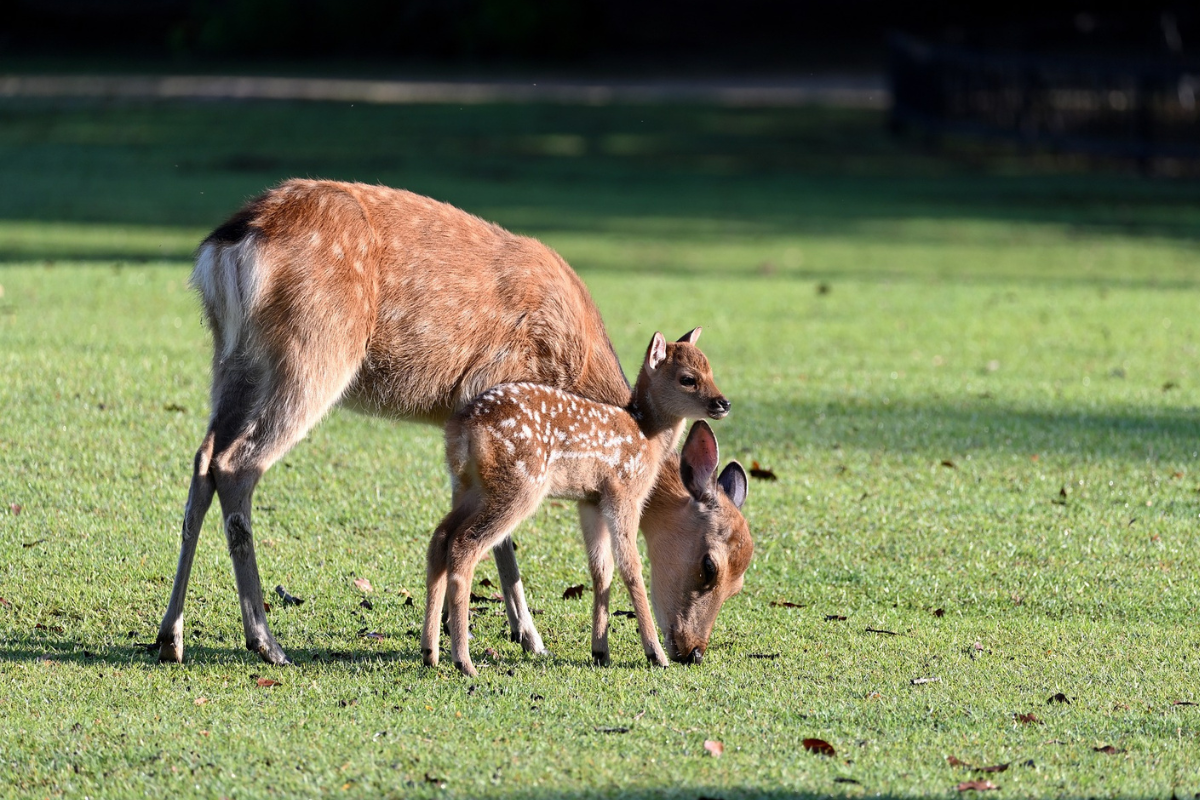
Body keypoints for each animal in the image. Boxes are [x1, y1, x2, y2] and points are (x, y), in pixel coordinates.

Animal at [422, 331, 739, 676]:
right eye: (688, 379)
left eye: (710, 370)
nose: (723, 403)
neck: (647, 436)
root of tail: (462, 429)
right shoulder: (624, 492)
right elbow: (631, 567)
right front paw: (655, 654)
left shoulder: (591, 500)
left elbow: (601, 569)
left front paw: (600, 651)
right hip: (519, 485)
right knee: (464, 546)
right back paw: (464, 661)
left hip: (469, 487)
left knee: (440, 538)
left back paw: (430, 652)